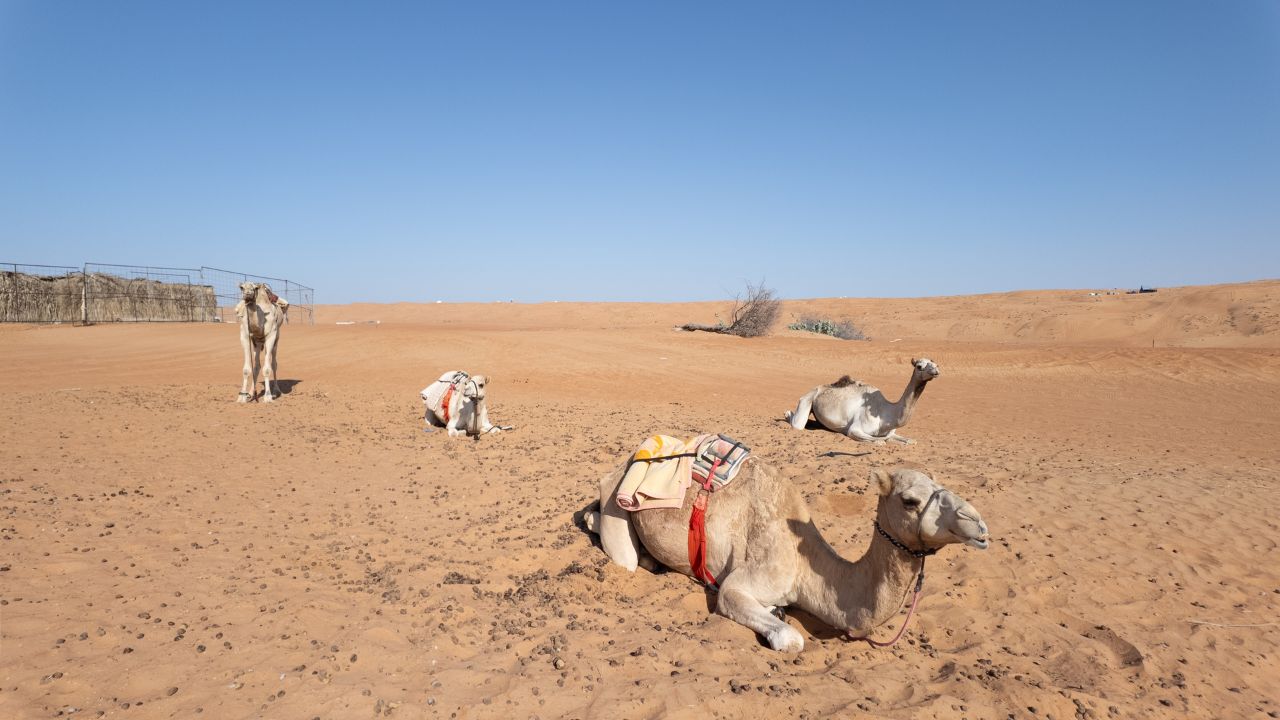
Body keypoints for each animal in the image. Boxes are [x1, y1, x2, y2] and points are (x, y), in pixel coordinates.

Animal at [584, 462, 988, 652]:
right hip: (618, 497)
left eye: (944, 487)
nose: (979, 525)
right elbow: (791, 639)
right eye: (910, 501)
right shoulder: (742, 584)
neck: (805, 564)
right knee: (621, 552)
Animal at [785, 358, 940, 444]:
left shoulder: (892, 431)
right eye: (919, 366)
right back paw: (787, 414)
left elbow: (910, 441)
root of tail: (817, 388)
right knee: (797, 424)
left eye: (934, 364)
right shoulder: (856, 429)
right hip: (807, 399)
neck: (886, 414)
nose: (936, 370)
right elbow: (879, 441)